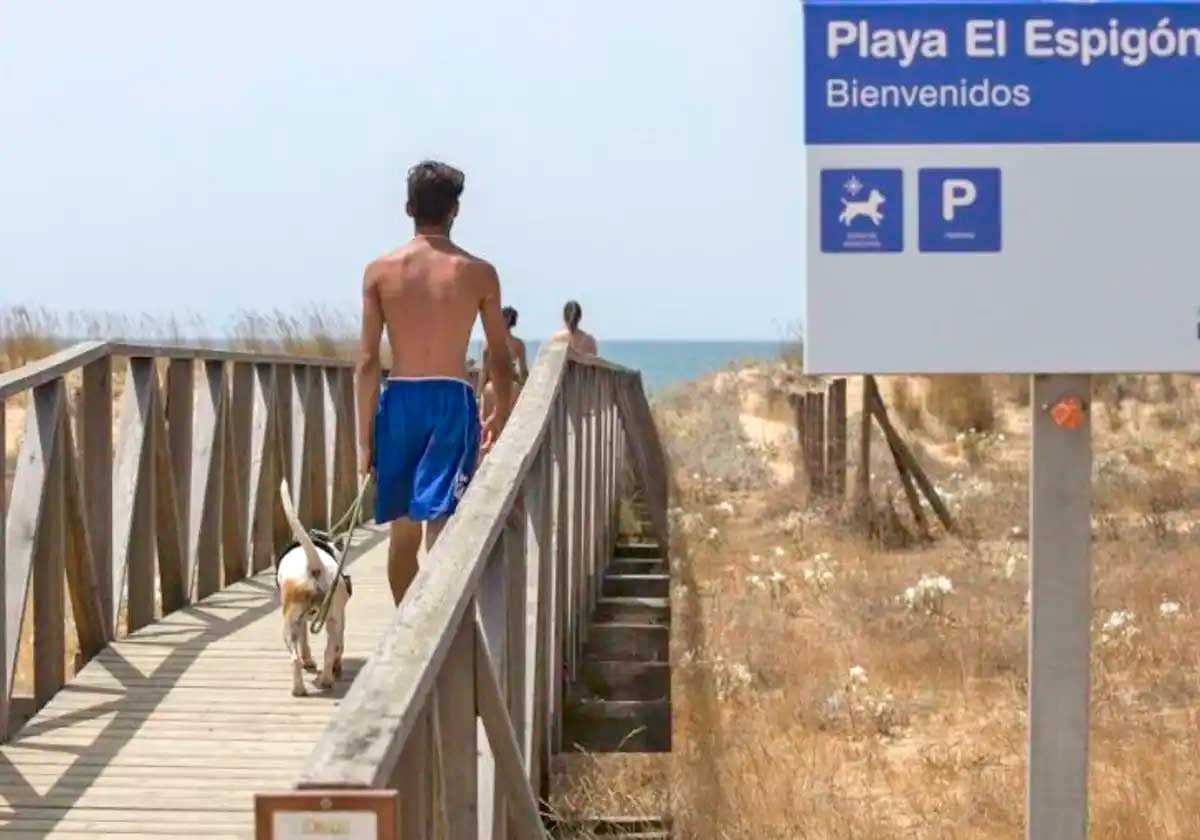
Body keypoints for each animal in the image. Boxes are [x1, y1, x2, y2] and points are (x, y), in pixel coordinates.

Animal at [279, 480, 352, 696]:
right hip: (334, 619)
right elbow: (338, 647)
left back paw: (298, 689)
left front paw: (309, 661)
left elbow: (304, 642)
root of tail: (314, 566)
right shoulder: (340, 617)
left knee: (294, 658)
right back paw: (327, 679)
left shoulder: (301, 621)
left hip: (290, 624)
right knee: (330, 650)